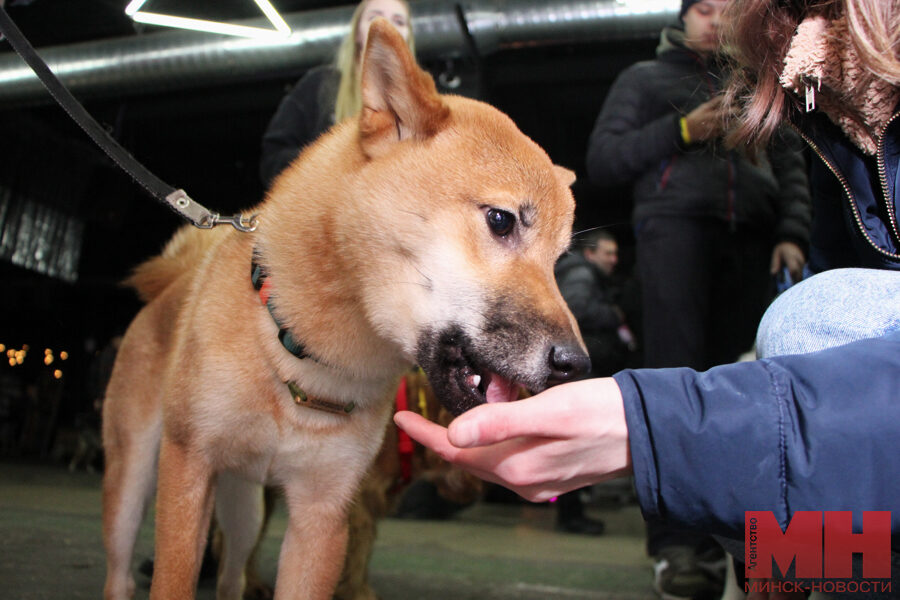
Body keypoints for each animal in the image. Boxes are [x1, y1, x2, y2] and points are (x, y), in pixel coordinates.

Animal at [100, 18, 592, 600]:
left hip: (243, 505)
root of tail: (173, 284)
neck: (304, 357)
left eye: (559, 259)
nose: (576, 365)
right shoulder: (189, 469)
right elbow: (173, 577)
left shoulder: (323, 513)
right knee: (120, 571)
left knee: (232, 573)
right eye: (501, 220)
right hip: (135, 480)